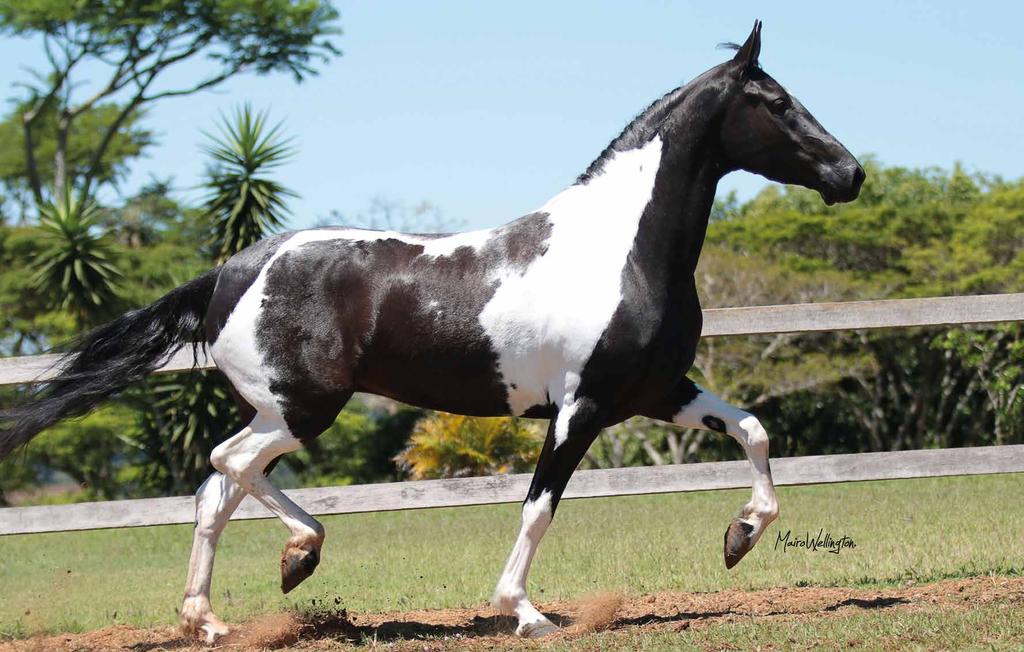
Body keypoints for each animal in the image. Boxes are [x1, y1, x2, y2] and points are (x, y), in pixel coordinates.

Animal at [0, 21, 864, 642]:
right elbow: (539, 506)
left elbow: (753, 430)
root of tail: (229, 274)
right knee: (227, 465)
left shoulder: (655, 392)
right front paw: (525, 611)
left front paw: (739, 535)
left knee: (216, 490)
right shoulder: (580, 408)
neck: (621, 247)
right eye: (777, 102)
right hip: (301, 408)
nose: (849, 174)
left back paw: (214, 615)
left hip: (278, 410)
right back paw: (298, 554)